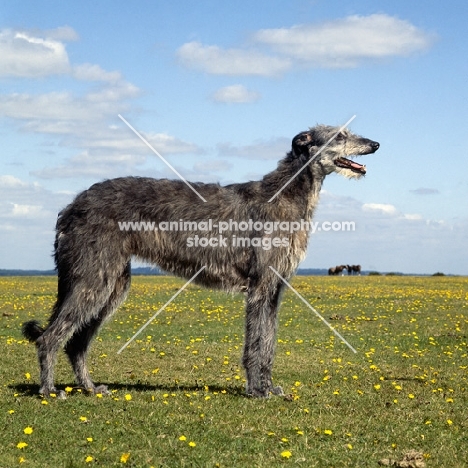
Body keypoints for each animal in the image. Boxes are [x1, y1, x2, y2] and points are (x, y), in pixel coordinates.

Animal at [22, 125, 380, 398]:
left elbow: (268, 343)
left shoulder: (274, 289)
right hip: (93, 278)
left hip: (112, 284)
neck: (286, 194)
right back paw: (49, 391)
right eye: (340, 135)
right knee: (50, 337)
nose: (376, 144)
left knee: (76, 343)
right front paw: (257, 391)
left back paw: (90, 388)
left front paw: (269, 387)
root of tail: (70, 207)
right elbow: (256, 343)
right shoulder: (260, 286)